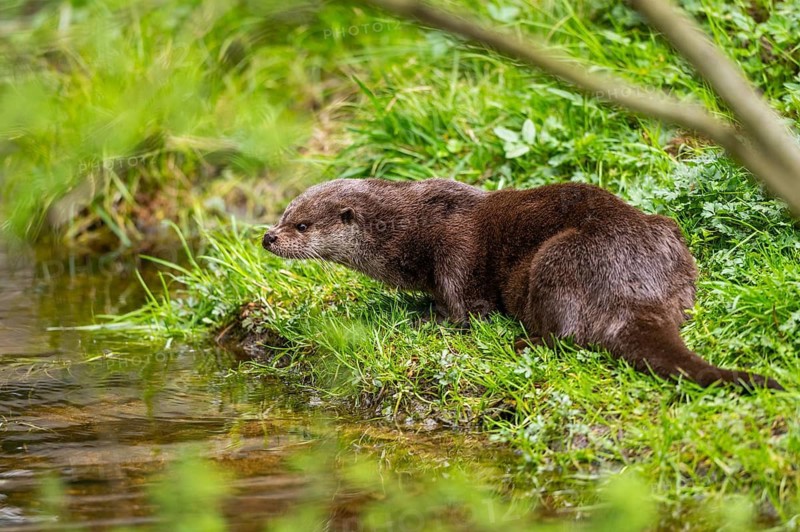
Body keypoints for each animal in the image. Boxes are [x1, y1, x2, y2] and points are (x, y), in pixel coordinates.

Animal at [262, 178, 782, 391]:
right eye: (283, 214)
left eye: (302, 226)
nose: (269, 236)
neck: (411, 229)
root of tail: (633, 287)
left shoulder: (455, 251)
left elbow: (465, 311)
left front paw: (428, 321)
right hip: (670, 236)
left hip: (555, 259)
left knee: (564, 335)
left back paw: (522, 342)